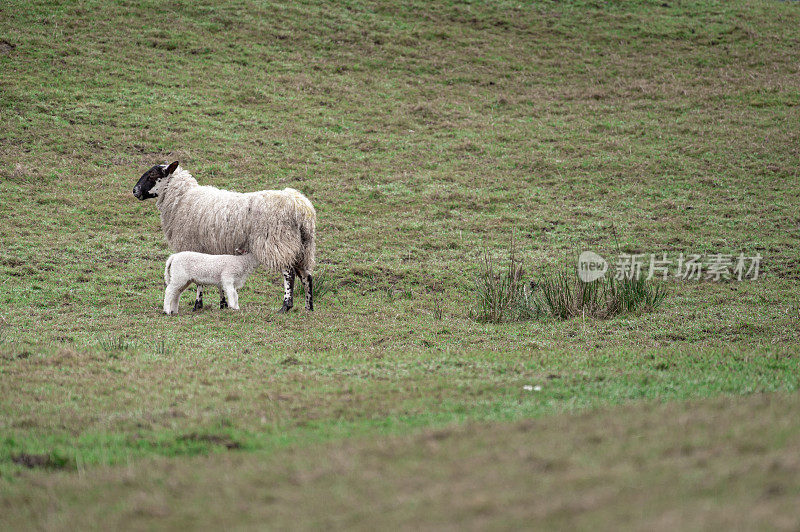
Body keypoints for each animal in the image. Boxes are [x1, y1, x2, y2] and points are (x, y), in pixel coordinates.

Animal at [133, 161, 314, 312]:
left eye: (152, 175)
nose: (135, 190)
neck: (182, 198)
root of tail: (301, 207)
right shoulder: (213, 249)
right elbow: (217, 278)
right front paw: (222, 304)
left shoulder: (193, 246)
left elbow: (200, 281)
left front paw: (198, 305)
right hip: (302, 247)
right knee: (306, 275)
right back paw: (308, 307)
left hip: (278, 242)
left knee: (289, 274)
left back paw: (286, 305)